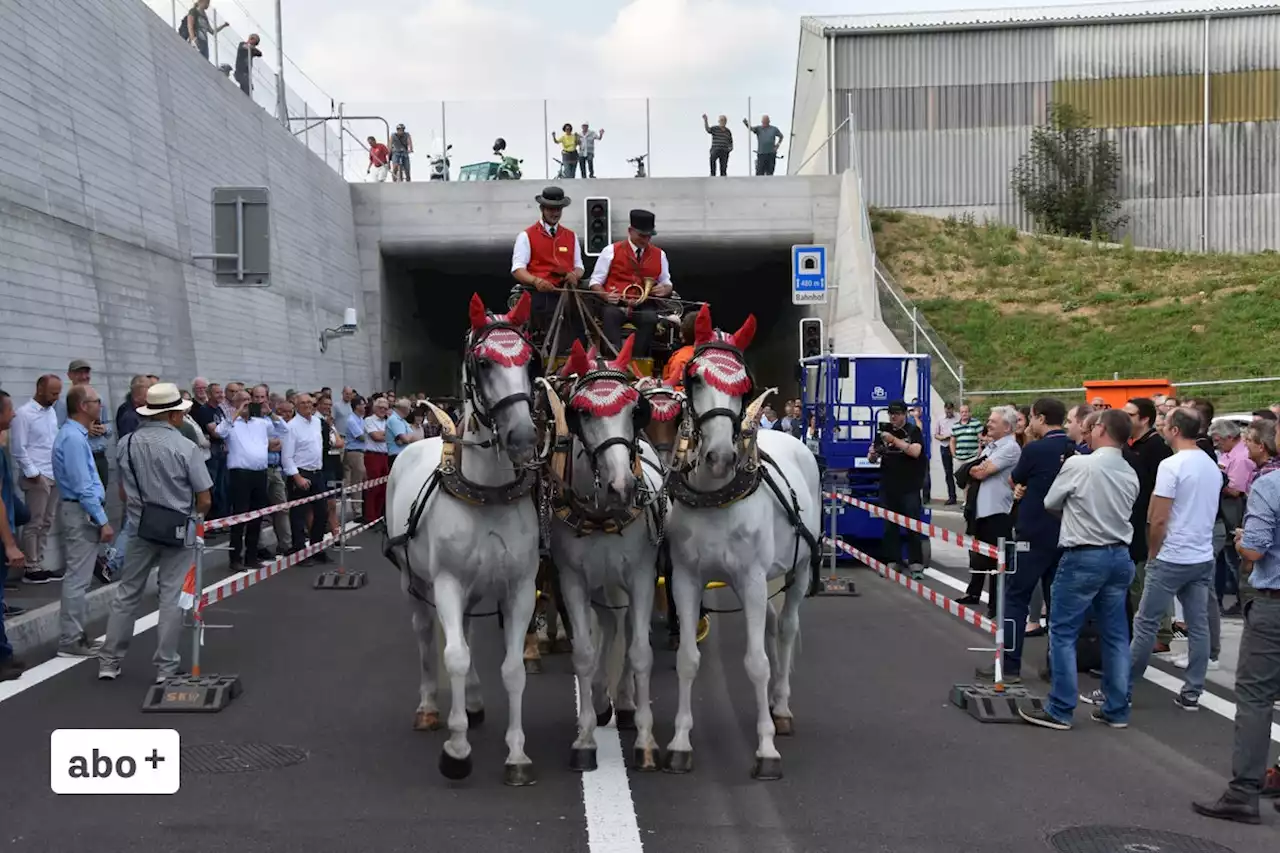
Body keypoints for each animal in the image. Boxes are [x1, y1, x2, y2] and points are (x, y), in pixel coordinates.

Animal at [386, 290, 547, 783]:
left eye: (531, 360)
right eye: (483, 361)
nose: (522, 436)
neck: (487, 492)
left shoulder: (519, 588)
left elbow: (512, 668)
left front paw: (517, 754)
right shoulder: (447, 583)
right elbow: (452, 655)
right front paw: (456, 752)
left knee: (469, 635)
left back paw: (473, 703)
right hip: (413, 581)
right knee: (426, 634)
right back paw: (429, 708)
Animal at [542, 338, 665, 768]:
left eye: (635, 410)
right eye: (581, 412)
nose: (622, 487)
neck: (601, 514)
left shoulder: (642, 576)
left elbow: (641, 650)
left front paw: (646, 738)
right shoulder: (572, 581)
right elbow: (584, 652)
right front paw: (584, 740)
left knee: (623, 629)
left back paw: (625, 704)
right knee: (609, 627)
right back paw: (601, 702)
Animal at [660, 302, 819, 778]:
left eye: (744, 385)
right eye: (694, 377)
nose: (720, 457)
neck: (717, 494)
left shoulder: (749, 579)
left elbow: (757, 663)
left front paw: (766, 749)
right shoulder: (687, 579)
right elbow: (687, 659)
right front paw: (679, 743)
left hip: (799, 569)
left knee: (785, 631)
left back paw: (780, 708)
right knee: (769, 626)